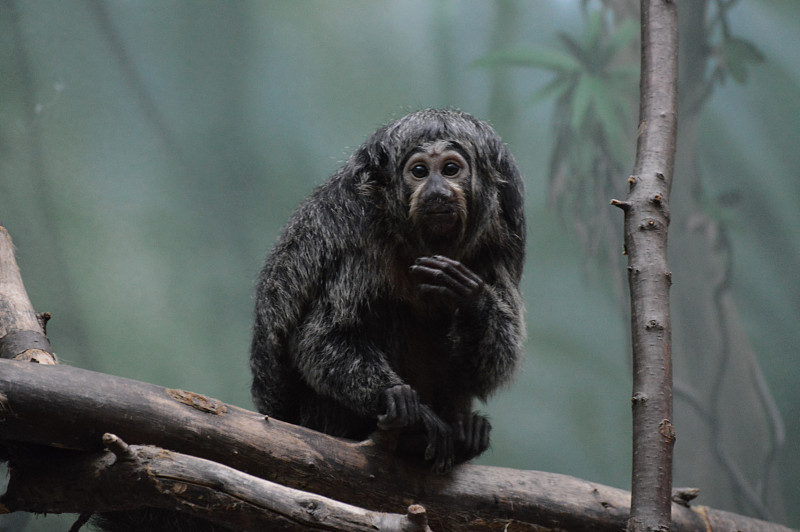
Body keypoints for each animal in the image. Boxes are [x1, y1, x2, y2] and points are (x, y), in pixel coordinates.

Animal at [250, 107, 524, 470]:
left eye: (450, 169)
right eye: (419, 172)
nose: (437, 192)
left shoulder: (505, 229)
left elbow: (492, 363)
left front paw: (470, 297)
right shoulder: (359, 231)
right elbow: (322, 337)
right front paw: (413, 411)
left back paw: (467, 432)